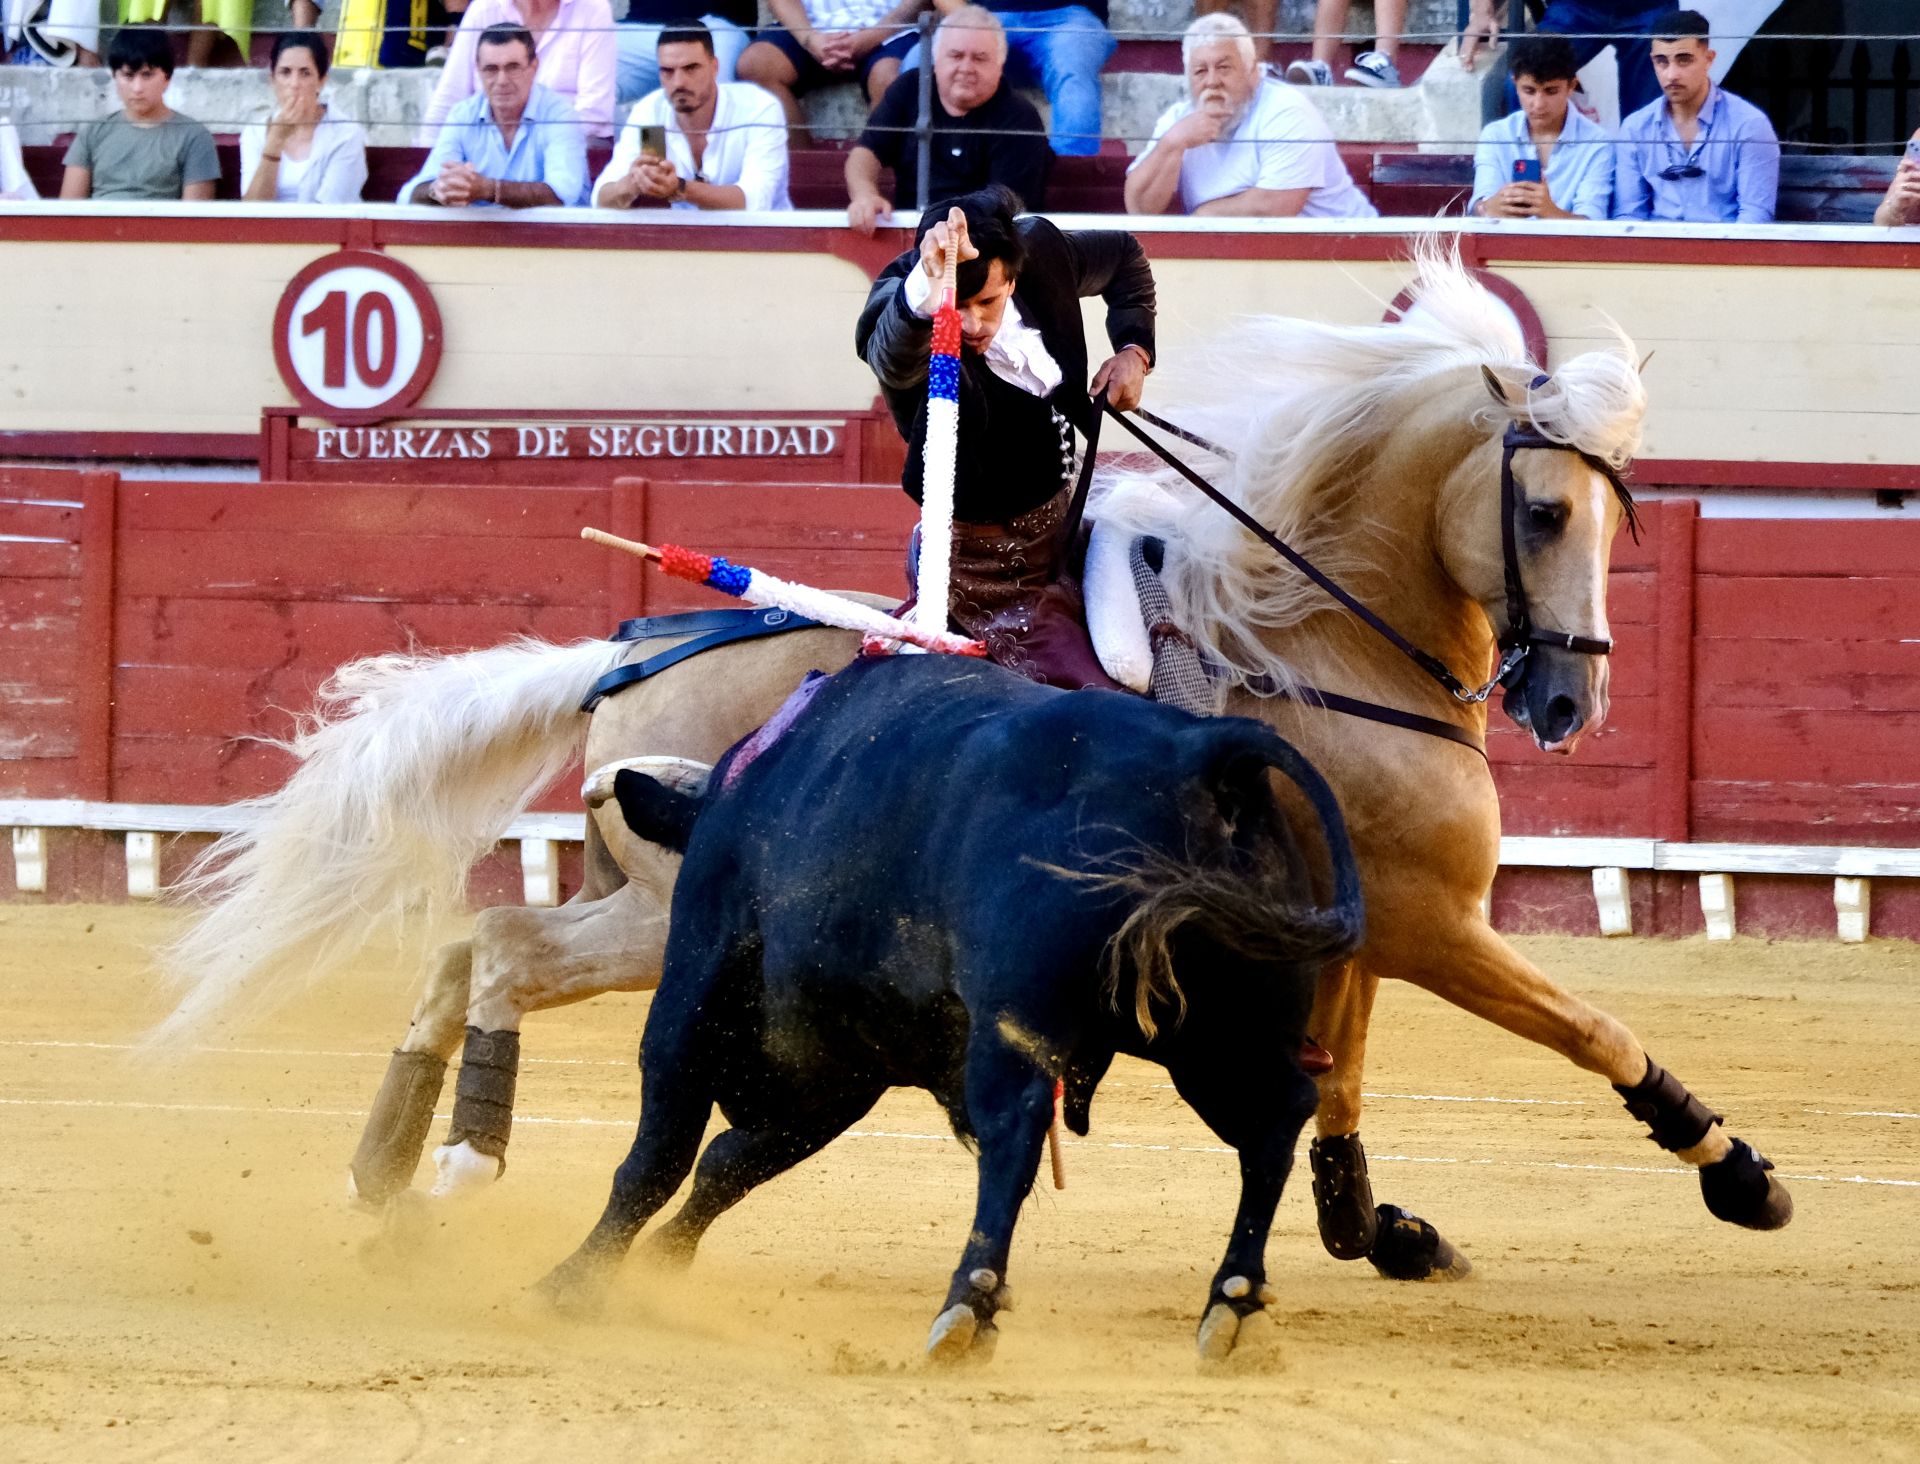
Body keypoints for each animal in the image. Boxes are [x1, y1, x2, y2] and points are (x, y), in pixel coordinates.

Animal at [157, 251, 1789, 1268]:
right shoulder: (1435, 923)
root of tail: (636, 655)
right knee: (498, 951)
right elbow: (1585, 1027)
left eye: (1620, 510)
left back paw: (388, 1166)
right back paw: (456, 1165)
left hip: (649, 906)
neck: (1317, 636)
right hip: (683, 918)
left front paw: (1371, 1229)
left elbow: (1342, 1083)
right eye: (1542, 514)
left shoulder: (1376, 931)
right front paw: (1739, 1172)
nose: (1568, 700)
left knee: (470, 947)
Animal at [541, 649, 1374, 1360]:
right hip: (1224, 1034)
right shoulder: (846, 1071)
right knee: (1274, 1117)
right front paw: (651, 1269)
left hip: (1024, 1018)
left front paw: (573, 1281)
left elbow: (659, 1156)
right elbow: (727, 1163)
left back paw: (968, 1306)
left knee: (1016, 1128)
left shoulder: (698, 985)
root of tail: (1204, 751)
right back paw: (1232, 1303)